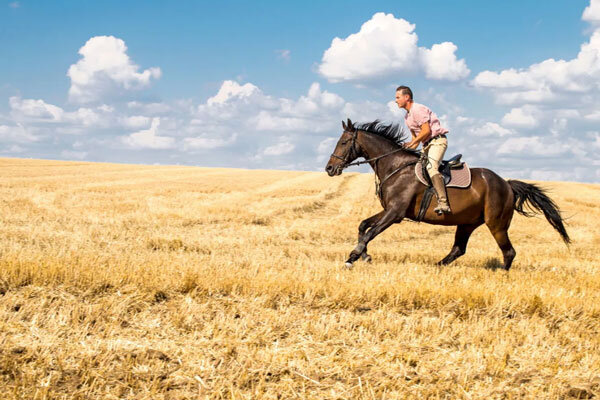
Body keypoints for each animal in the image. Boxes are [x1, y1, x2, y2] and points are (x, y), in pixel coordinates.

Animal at [326, 117, 568, 270]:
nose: (329, 168)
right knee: (459, 249)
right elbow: (363, 226)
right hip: (467, 223)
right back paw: (438, 266)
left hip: (496, 223)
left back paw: (501, 273)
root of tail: (506, 184)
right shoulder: (389, 210)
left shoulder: (395, 213)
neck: (395, 166)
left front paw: (353, 257)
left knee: (508, 252)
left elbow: (370, 232)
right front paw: (364, 255)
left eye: (344, 142)